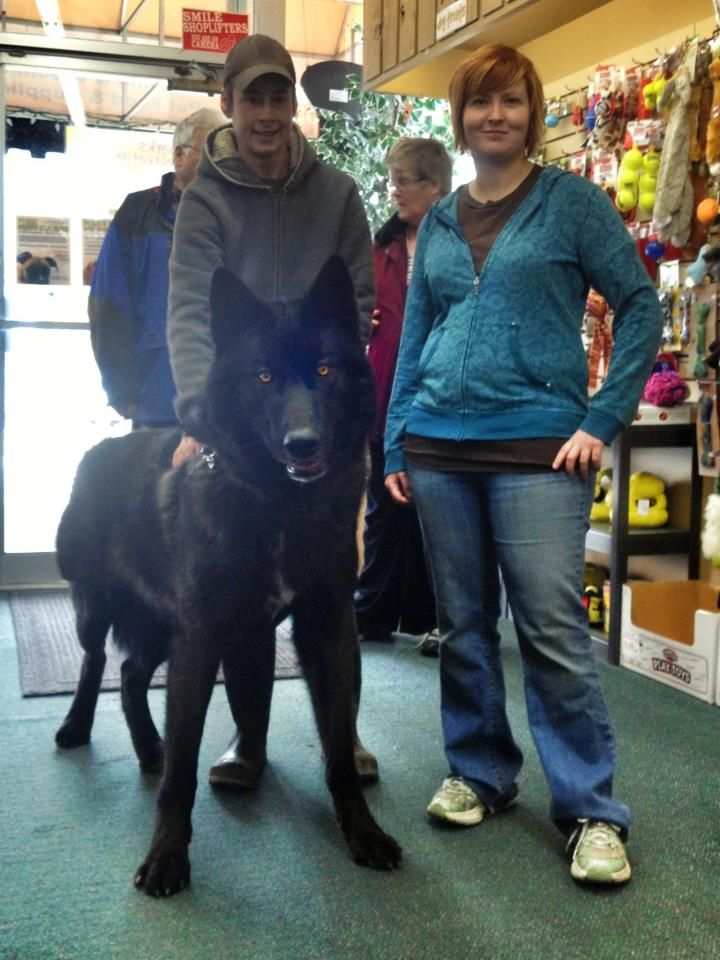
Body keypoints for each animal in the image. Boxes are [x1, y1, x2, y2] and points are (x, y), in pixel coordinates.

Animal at [56, 255, 402, 892]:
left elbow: (340, 751)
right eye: (263, 378)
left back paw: (149, 748)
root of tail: (97, 451)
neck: (280, 507)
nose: (303, 443)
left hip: (162, 628)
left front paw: (362, 832)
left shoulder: (325, 629)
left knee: (133, 675)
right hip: (99, 608)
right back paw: (77, 727)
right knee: (96, 663)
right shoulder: (203, 637)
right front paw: (167, 856)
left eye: (324, 370)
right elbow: (183, 773)